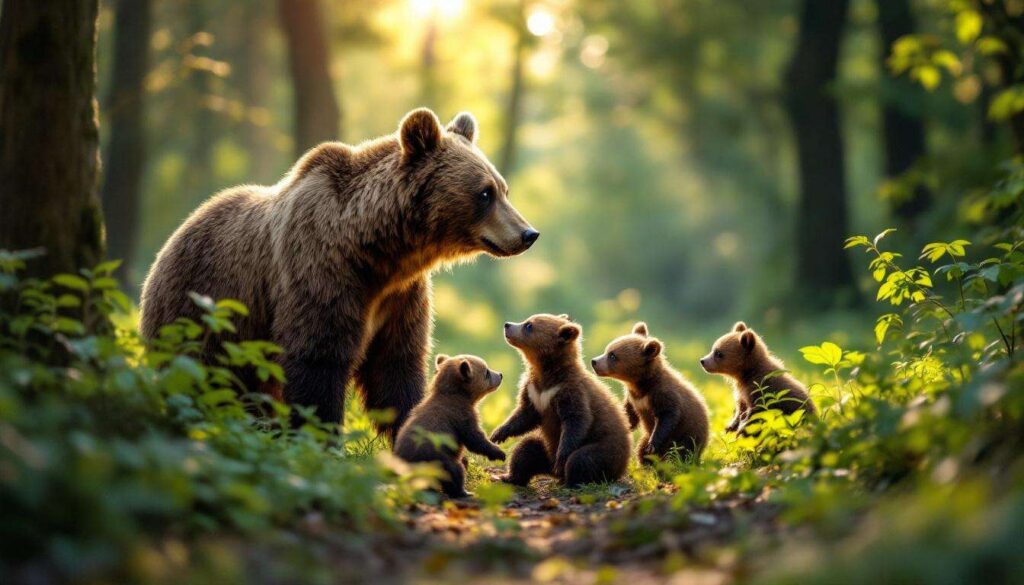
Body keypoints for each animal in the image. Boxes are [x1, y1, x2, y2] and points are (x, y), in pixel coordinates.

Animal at [140, 108, 539, 441]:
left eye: (503, 189)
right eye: (484, 193)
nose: (528, 233)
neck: (380, 251)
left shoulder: (401, 296)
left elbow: (396, 366)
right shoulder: (322, 273)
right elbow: (318, 359)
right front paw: (320, 439)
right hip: (205, 309)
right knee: (204, 375)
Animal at [394, 353, 506, 498]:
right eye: (486, 372)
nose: (500, 375)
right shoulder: (460, 415)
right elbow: (475, 439)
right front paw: (499, 452)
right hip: (437, 459)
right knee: (455, 471)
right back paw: (463, 492)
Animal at [490, 314, 631, 487]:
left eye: (529, 325)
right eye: (527, 320)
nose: (507, 325)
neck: (547, 373)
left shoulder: (569, 391)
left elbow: (576, 421)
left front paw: (561, 458)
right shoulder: (534, 391)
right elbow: (524, 415)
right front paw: (497, 434)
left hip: (607, 450)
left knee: (581, 459)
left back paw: (570, 481)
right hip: (544, 448)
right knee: (525, 450)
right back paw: (507, 477)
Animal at [591, 322, 710, 464]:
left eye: (612, 355)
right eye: (607, 349)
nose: (594, 362)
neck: (641, 385)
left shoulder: (662, 393)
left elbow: (667, 415)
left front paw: (652, 445)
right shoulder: (633, 399)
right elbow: (630, 415)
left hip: (687, 438)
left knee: (680, 453)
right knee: (641, 449)